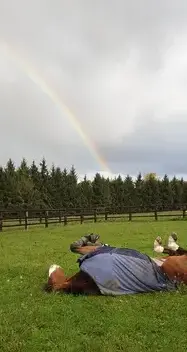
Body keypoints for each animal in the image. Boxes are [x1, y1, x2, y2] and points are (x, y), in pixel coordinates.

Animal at [44, 234, 187, 296]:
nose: (53, 266)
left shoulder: (96, 250)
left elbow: (76, 247)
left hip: (170, 262)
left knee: (177, 251)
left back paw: (165, 242)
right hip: (170, 263)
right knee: (177, 252)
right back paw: (164, 243)